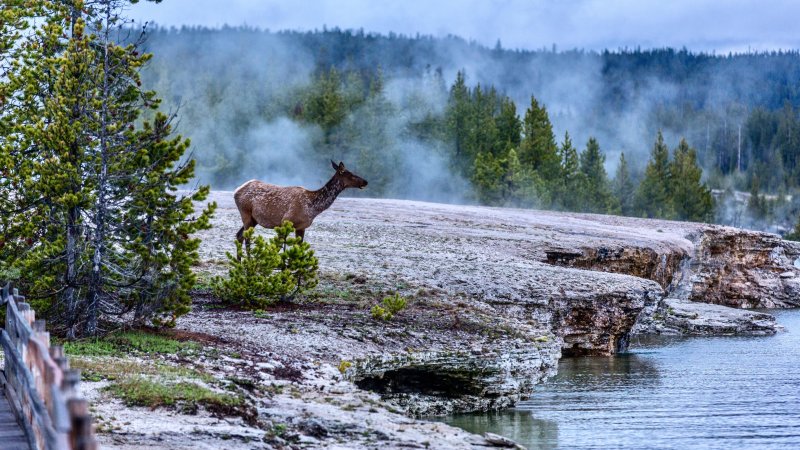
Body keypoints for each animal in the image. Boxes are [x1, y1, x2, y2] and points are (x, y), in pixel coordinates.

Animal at [233, 161, 368, 244]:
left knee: (239, 235)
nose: (365, 181)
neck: (313, 208)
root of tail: (236, 190)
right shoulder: (285, 222)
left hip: (254, 219)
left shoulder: (302, 227)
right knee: (246, 239)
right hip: (246, 213)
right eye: (350, 175)